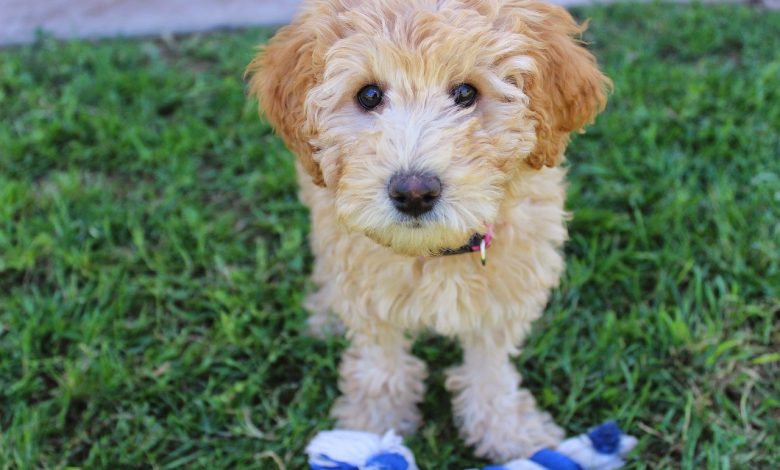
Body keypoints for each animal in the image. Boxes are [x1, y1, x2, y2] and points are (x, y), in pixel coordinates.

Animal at [248, 0, 608, 460]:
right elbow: (381, 364)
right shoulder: (369, 292)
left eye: (466, 93)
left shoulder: (505, 292)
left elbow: (490, 369)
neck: (435, 252)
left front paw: (508, 432)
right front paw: (372, 430)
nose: (414, 192)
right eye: (369, 95)